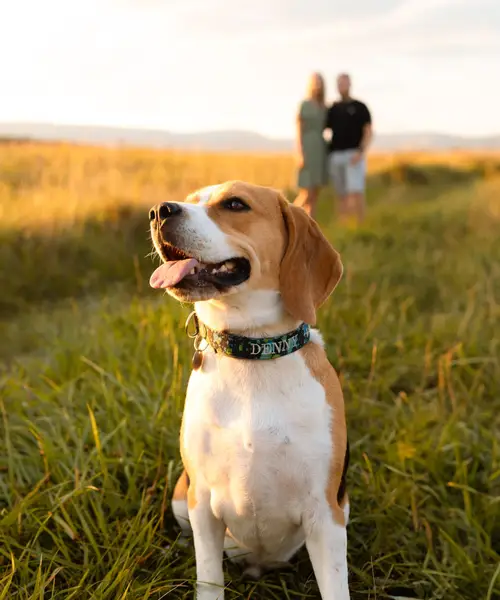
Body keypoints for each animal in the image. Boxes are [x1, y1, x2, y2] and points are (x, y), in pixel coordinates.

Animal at [148, 182, 350, 600]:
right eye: (190, 199)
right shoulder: (203, 506)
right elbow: (209, 578)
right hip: (182, 493)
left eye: (234, 204)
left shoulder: (325, 515)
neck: (252, 353)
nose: (159, 211)